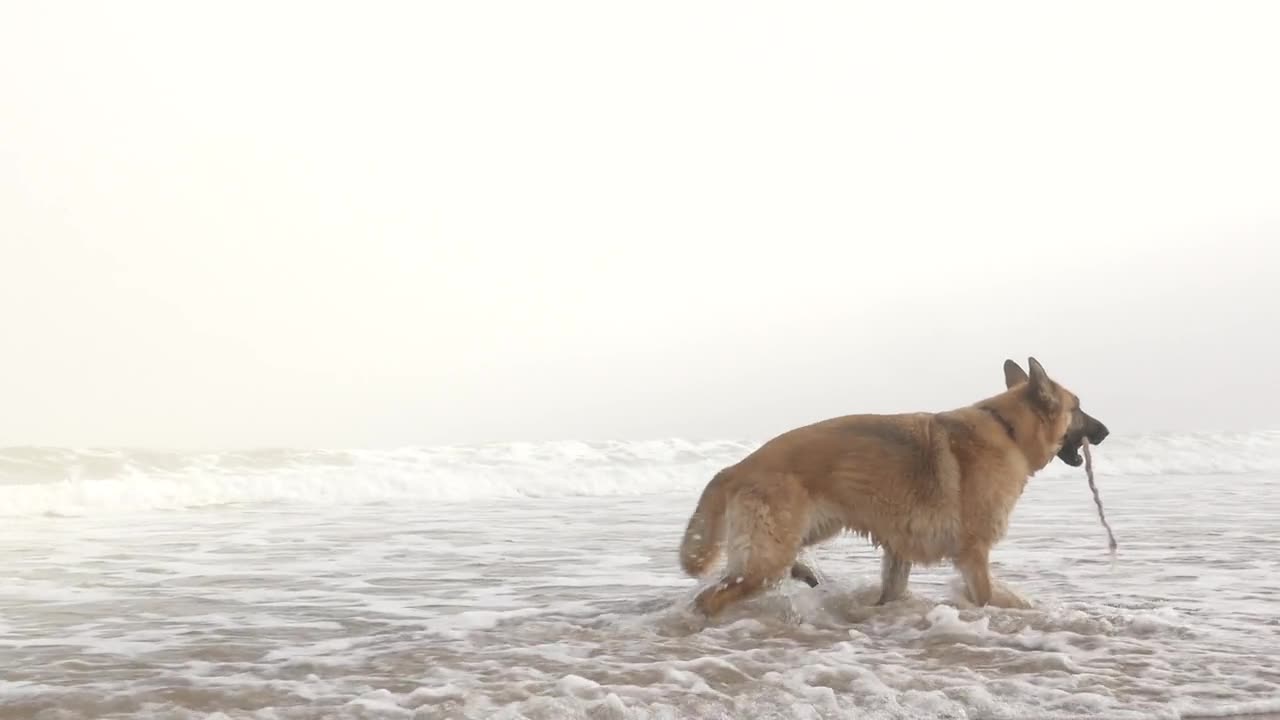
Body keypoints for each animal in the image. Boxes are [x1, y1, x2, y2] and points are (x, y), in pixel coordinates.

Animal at [680, 356, 1111, 614]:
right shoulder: (974, 555)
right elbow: (986, 598)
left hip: (805, 532)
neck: (1008, 429)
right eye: (1078, 409)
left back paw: (801, 573)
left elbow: (891, 593)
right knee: (714, 596)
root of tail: (737, 466)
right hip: (770, 556)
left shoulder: (899, 551)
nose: (1105, 431)